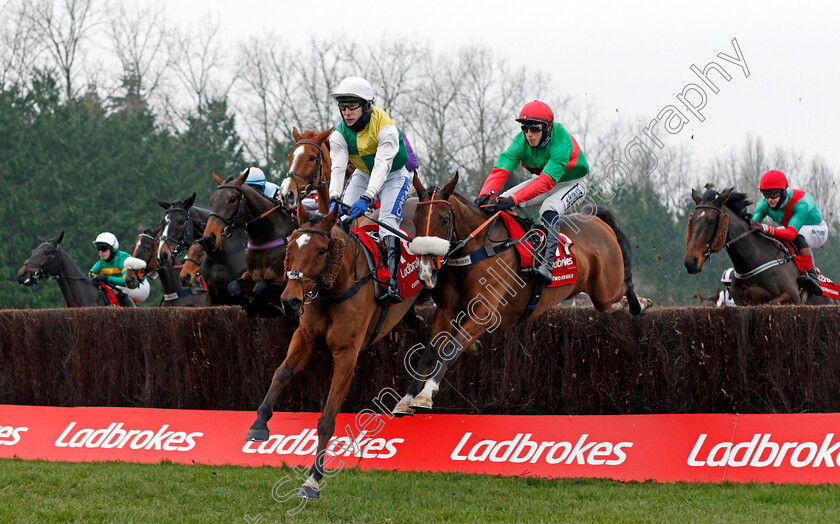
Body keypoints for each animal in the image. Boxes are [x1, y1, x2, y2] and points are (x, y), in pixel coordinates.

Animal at [202, 172, 296, 316]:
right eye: (212, 200)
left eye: (232, 199)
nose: (209, 238)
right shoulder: (249, 277)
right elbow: (234, 287)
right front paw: (258, 308)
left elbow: (261, 287)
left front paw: (266, 307)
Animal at [246, 192, 424, 500]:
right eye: (291, 246)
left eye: (321, 251)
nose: (289, 301)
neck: (335, 289)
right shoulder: (305, 337)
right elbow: (281, 372)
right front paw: (258, 424)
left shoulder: (346, 353)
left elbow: (328, 417)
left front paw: (312, 480)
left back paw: (419, 395)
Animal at [392, 174, 644, 416]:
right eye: (415, 220)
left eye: (445, 219)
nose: (426, 272)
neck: (477, 248)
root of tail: (595, 219)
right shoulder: (447, 310)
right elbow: (429, 352)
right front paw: (407, 398)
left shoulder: (485, 313)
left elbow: (450, 348)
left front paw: (426, 394)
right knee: (610, 304)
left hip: (605, 287)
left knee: (623, 289)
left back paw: (639, 304)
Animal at [684, 187, 836, 304]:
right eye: (691, 221)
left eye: (711, 221)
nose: (690, 262)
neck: (753, 260)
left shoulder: (792, 297)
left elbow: (771, 302)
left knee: (799, 236)